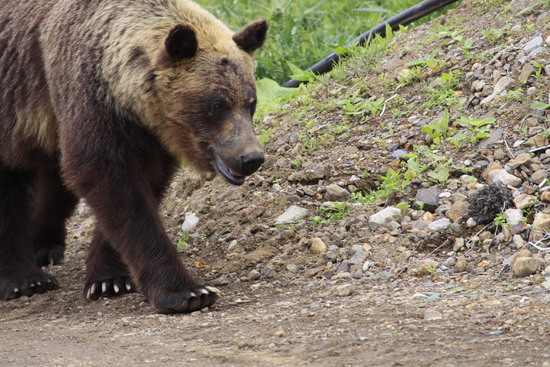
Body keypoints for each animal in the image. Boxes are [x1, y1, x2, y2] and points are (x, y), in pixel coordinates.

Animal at [0, 0, 268, 316]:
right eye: (217, 104)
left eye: (251, 103)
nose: (250, 157)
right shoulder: (88, 98)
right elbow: (113, 186)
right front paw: (187, 291)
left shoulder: (150, 137)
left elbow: (142, 185)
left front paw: (109, 278)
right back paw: (26, 279)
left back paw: (45, 245)